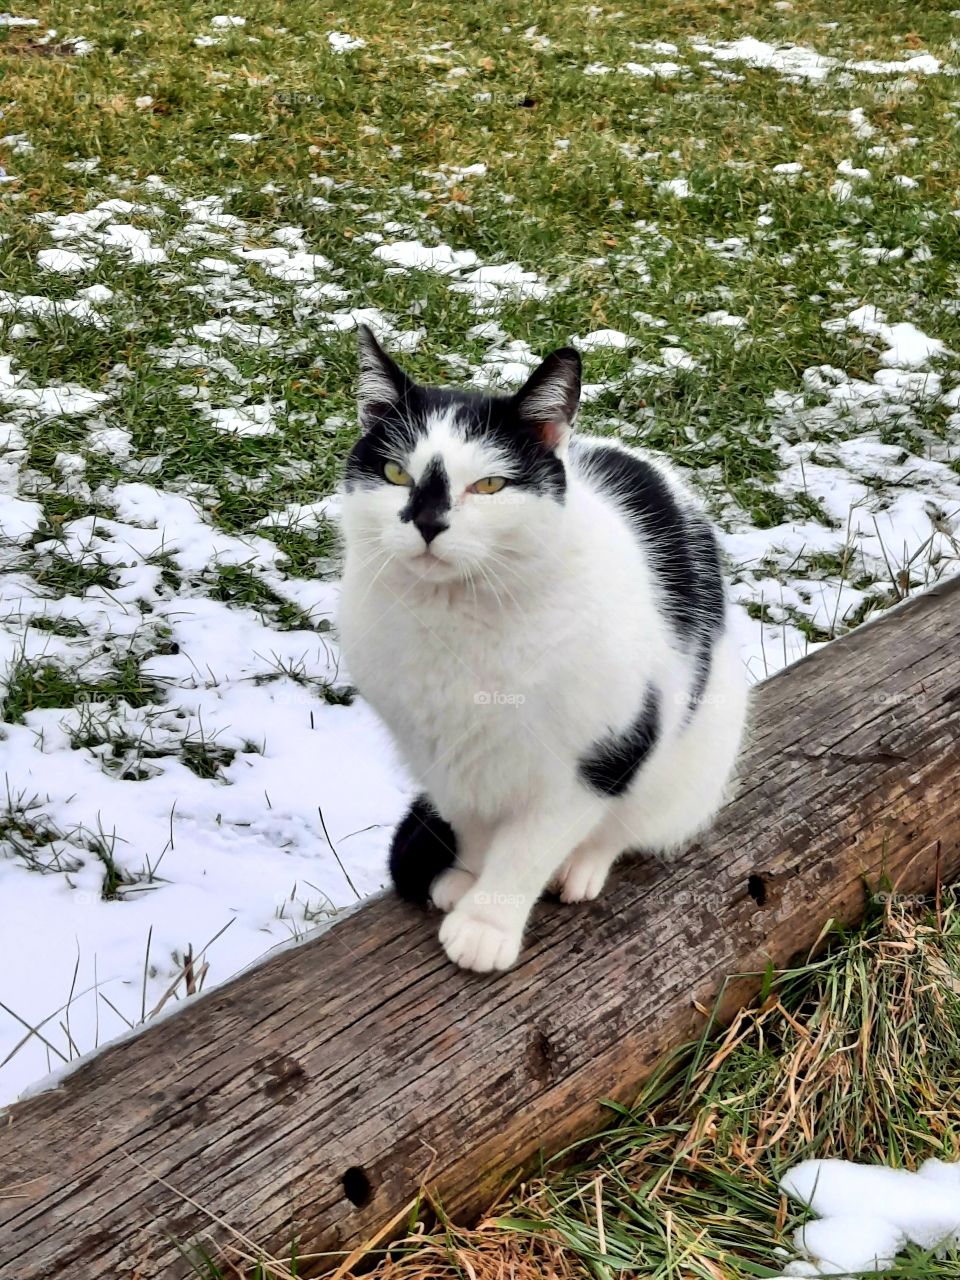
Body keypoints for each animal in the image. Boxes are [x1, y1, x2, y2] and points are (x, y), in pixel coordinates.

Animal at [337, 327, 752, 967]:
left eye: (489, 484)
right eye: (394, 473)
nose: (427, 523)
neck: (457, 623)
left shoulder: (601, 755)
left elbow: (528, 849)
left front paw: (486, 925)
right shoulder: (447, 761)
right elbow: (477, 832)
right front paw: (466, 881)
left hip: (694, 752)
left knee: (625, 827)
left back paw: (582, 868)